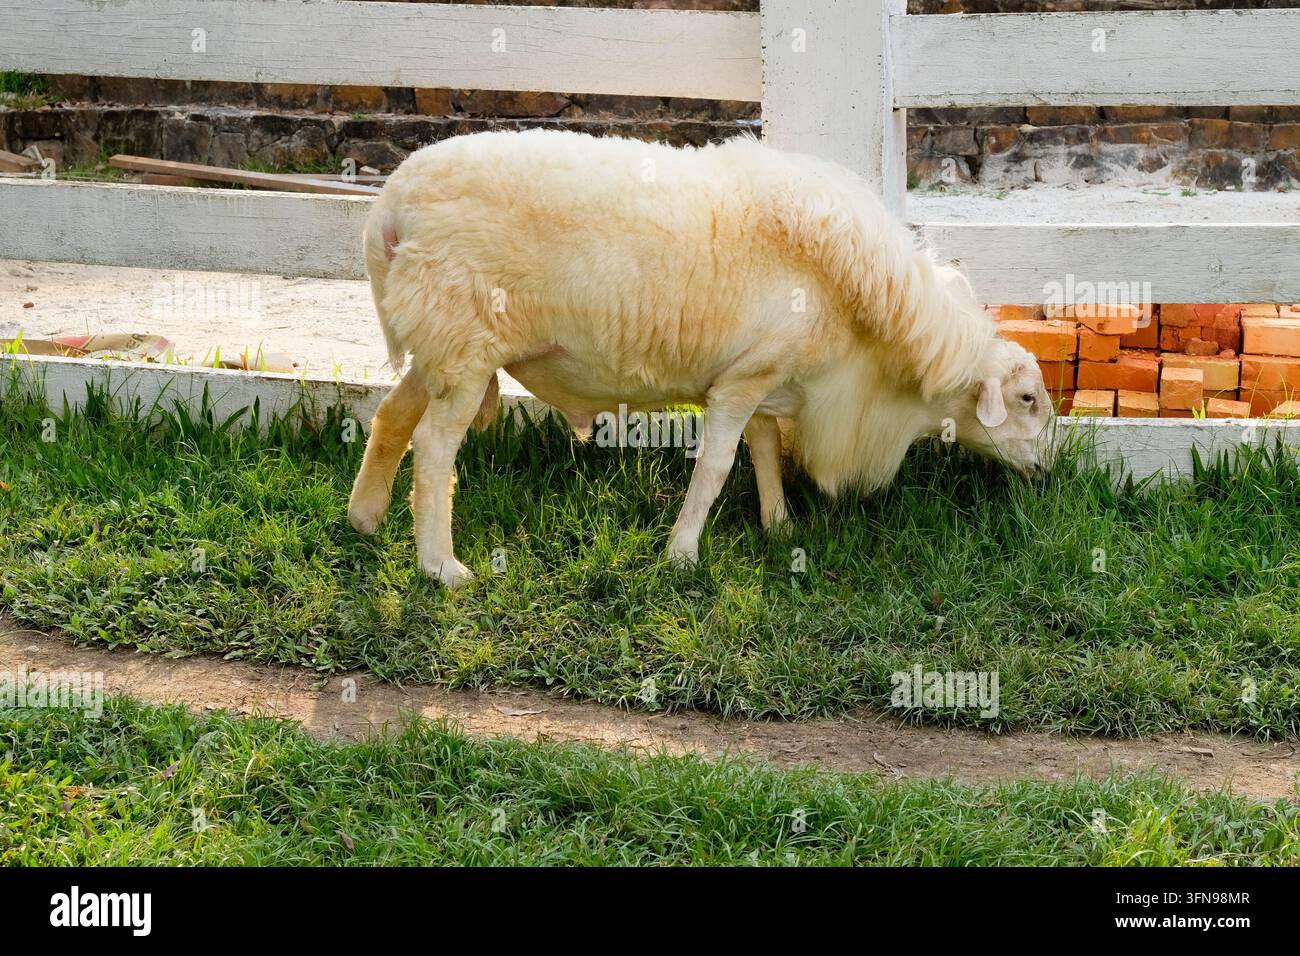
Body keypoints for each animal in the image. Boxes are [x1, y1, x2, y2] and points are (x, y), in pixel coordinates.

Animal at [347, 129, 1054, 587]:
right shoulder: (742, 382)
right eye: (1027, 399)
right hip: (462, 344)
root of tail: (392, 204)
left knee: (390, 417)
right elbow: (715, 467)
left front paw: (779, 526)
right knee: (435, 450)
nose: (1047, 474)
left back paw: (365, 521)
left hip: (441, 346)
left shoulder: (762, 370)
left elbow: (764, 450)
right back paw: (440, 567)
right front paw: (683, 554)